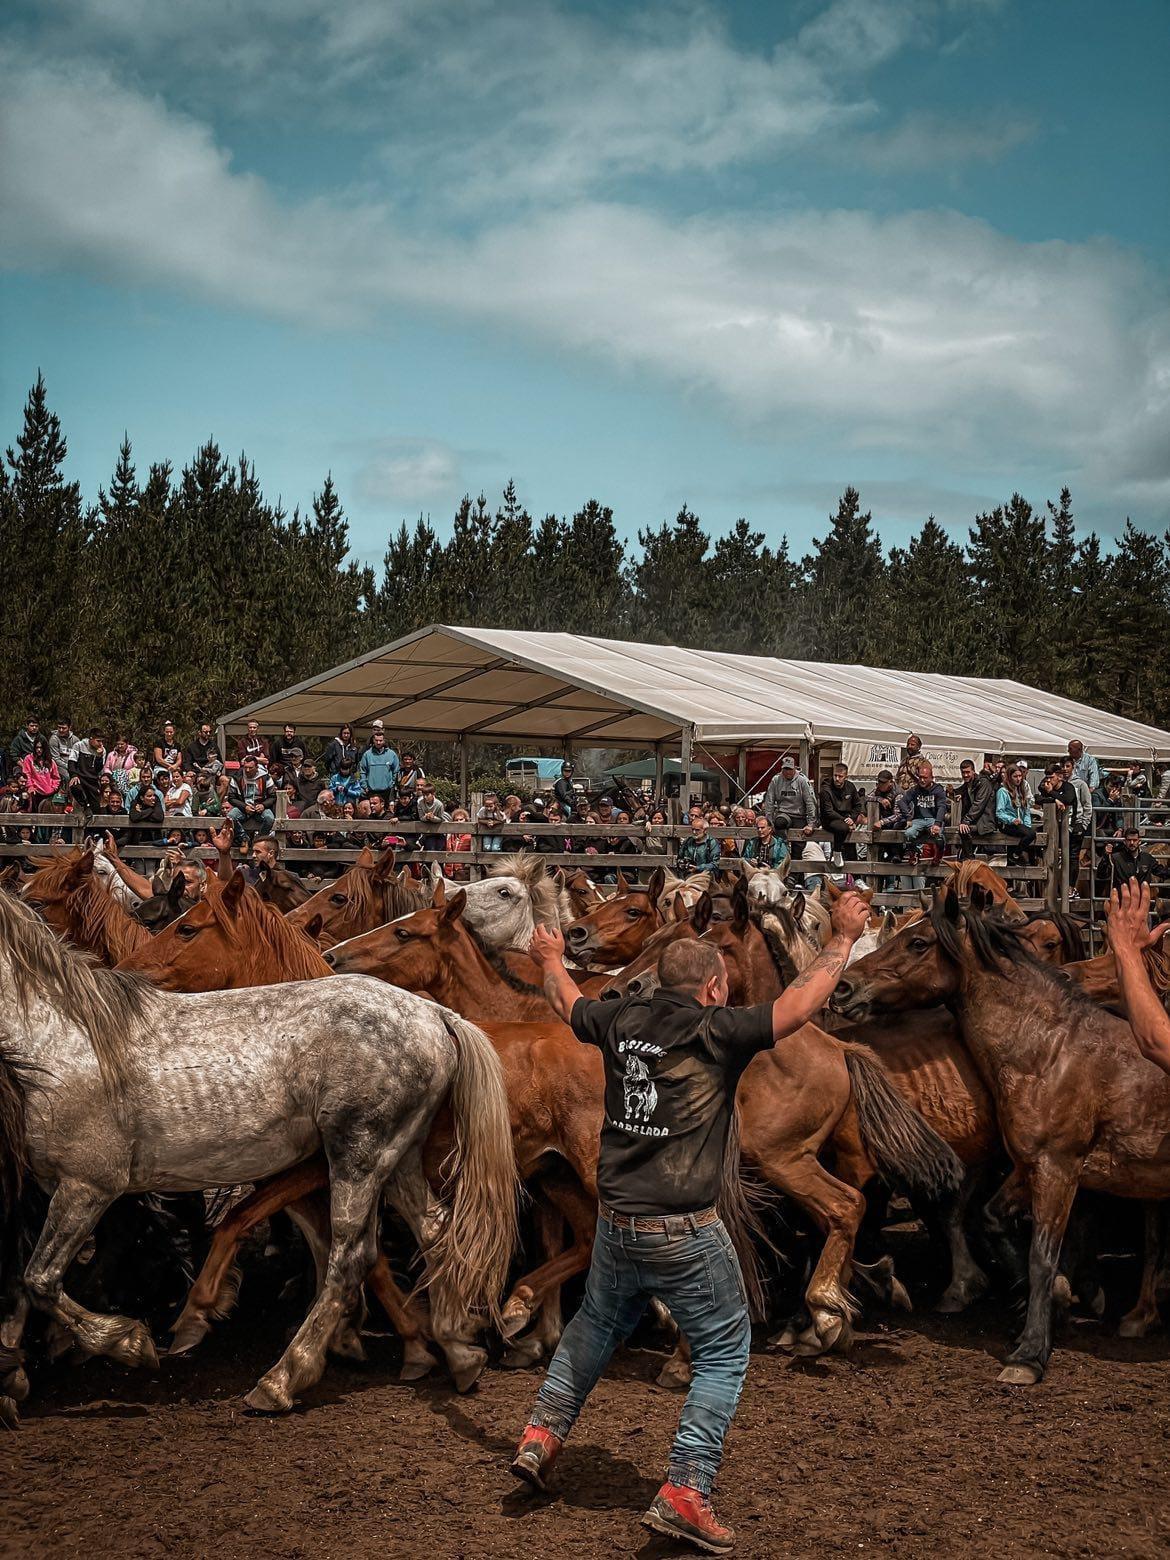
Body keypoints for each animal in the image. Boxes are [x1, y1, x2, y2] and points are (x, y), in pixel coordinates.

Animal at [836, 898, 1170, 1385]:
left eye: (917, 942)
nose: (843, 987)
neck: (1050, 1053)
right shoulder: (1026, 1167)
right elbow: (993, 1222)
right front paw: (1051, 1303)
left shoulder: (1058, 1170)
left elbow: (1042, 1256)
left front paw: (1028, 1354)